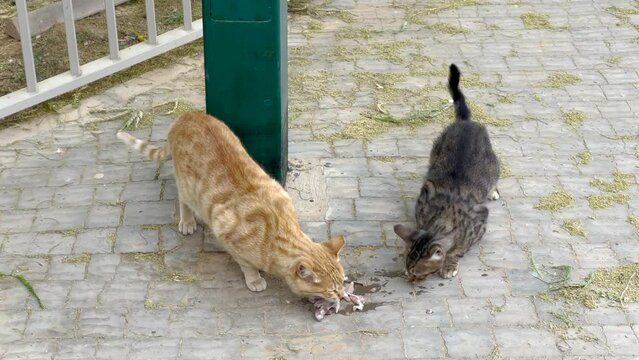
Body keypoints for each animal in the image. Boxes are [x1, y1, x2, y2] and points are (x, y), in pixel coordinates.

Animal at [119, 112, 350, 304]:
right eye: (330, 290)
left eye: (343, 281)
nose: (342, 295)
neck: (278, 232)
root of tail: (185, 116)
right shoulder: (227, 233)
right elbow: (246, 264)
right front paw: (254, 278)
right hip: (187, 187)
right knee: (183, 200)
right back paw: (187, 221)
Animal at [392, 63, 502, 282]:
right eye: (406, 264)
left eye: (417, 271)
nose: (408, 275)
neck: (443, 220)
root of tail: (465, 122)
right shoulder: (424, 198)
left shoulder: (481, 219)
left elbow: (458, 250)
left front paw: (450, 263)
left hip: (493, 165)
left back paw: (493, 191)